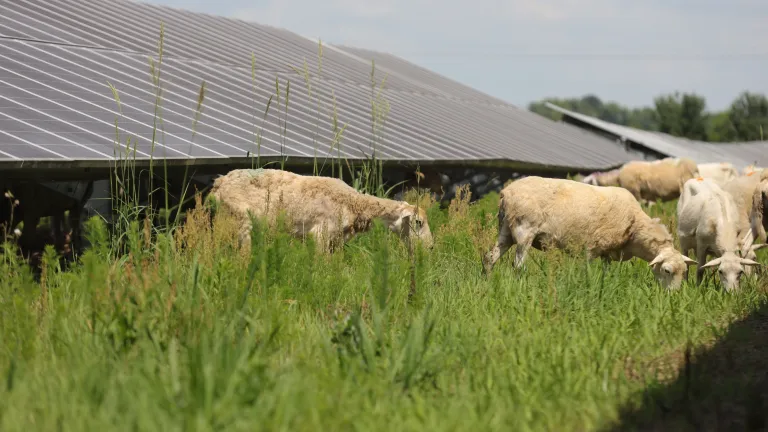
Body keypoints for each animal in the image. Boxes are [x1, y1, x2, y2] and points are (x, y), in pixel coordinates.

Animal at [208, 168, 434, 252]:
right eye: (418, 222)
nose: (431, 247)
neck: (353, 204)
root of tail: (220, 182)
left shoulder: (337, 239)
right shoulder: (320, 234)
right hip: (241, 220)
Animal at [481, 176, 696, 289]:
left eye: (685, 273)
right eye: (667, 271)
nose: (673, 296)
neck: (634, 228)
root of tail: (506, 193)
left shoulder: (608, 252)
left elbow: (606, 271)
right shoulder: (592, 247)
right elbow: (588, 271)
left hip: (505, 230)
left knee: (489, 257)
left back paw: (487, 281)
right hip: (524, 229)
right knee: (517, 265)